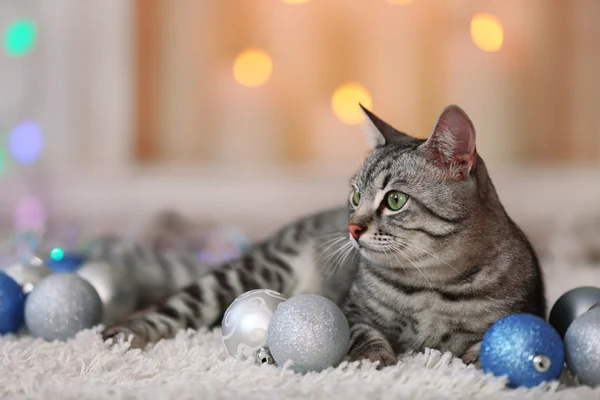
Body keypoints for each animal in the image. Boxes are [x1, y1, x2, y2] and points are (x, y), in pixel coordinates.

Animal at [102, 104, 544, 368]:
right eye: (355, 196)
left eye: (395, 200)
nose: (352, 227)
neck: (430, 286)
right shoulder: (353, 312)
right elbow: (366, 335)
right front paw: (376, 361)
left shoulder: (511, 317)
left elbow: (484, 348)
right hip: (247, 275)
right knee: (166, 310)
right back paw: (120, 335)